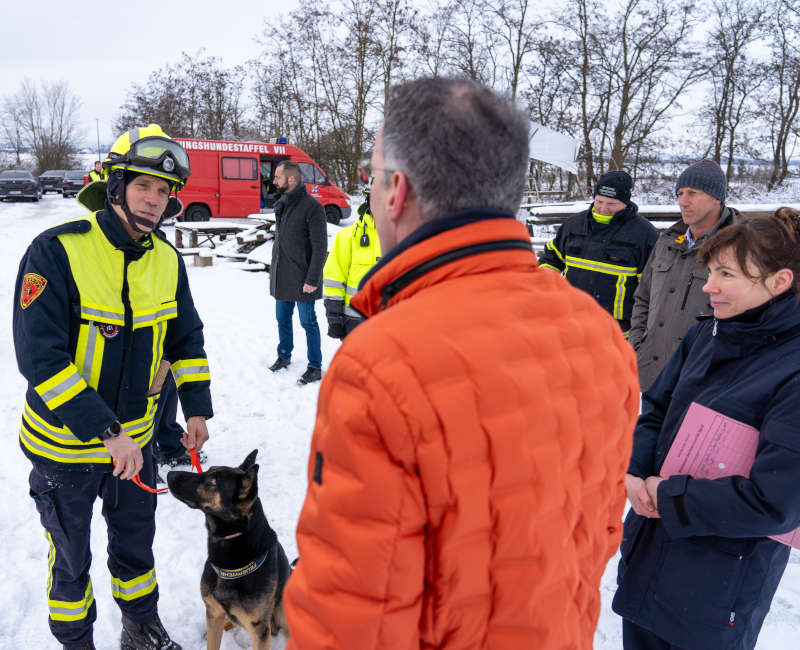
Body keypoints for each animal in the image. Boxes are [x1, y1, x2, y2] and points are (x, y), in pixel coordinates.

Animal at [168, 450, 290, 648]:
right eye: (208, 470)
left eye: (211, 483)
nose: (170, 475)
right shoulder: (213, 612)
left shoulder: (259, 630)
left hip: (280, 611)